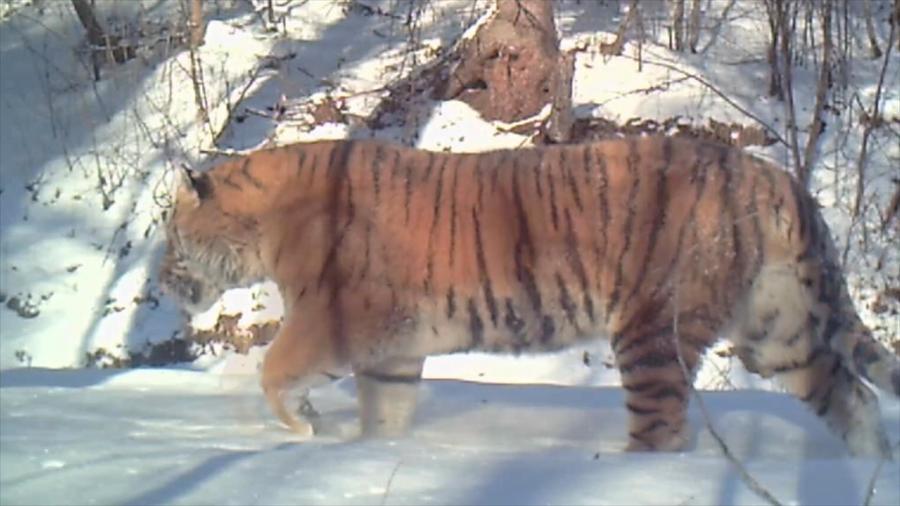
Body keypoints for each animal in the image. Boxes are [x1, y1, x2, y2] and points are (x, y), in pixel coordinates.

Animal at [162, 135, 900, 458]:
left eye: (169, 236)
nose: (164, 283)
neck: (264, 224)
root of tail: (772, 175)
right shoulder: (390, 347)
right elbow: (385, 412)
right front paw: (370, 454)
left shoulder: (333, 317)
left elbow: (272, 370)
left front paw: (305, 429)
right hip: (779, 331)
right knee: (855, 400)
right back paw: (865, 473)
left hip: (651, 331)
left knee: (661, 429)